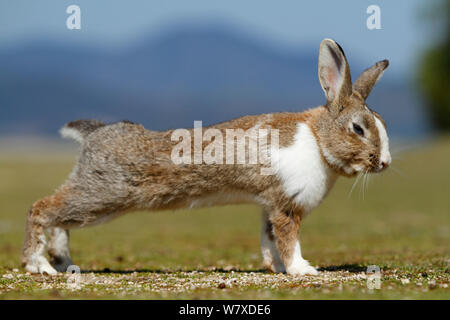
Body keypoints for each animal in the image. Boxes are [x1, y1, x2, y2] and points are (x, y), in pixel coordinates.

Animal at [22, 38, 390, 276]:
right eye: (358, 128)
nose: (384, 163)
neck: (317, 139)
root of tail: (94, 133)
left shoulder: (269, 205)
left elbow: (269, 240)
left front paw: (276, 268)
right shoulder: (286, 205)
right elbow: (288, 240)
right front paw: (303, 270)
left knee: (58, 219)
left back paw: (64, 262)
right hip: (104, 195)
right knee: (40, 209)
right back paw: (40, 266)